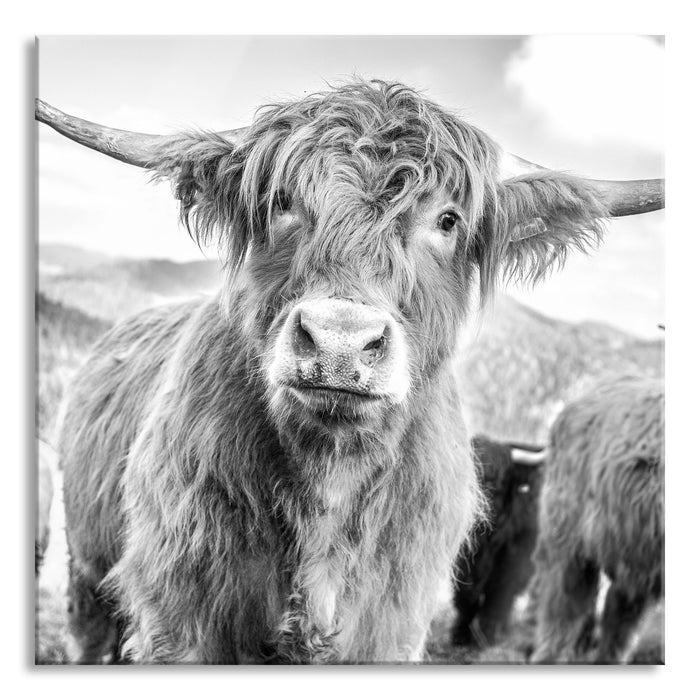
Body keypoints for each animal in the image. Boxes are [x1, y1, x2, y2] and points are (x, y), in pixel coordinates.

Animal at [452, 436, 545, 648]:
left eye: (497, 481)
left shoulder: (514, 557)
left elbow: (499, 594)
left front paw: (488, 636)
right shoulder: (465, 559)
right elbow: (466, 595)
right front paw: (460, 633)